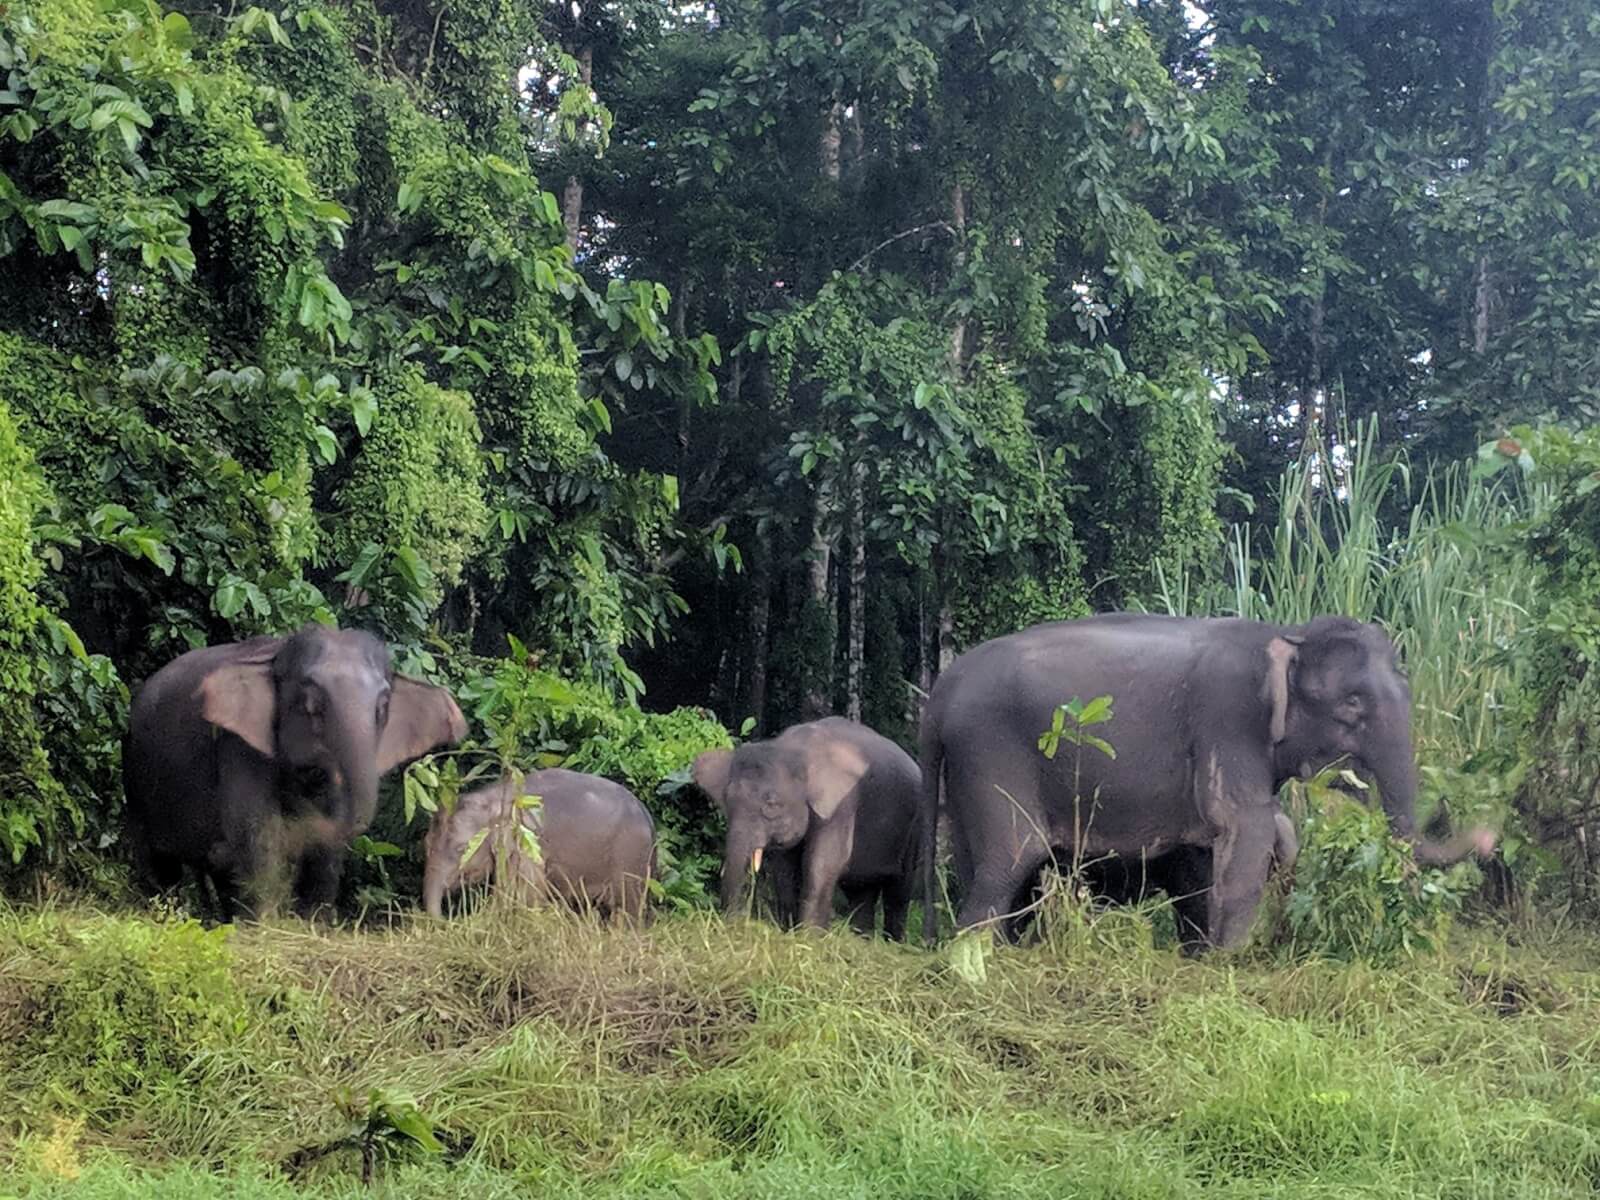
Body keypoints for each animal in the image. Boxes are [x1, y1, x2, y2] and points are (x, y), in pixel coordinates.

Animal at [124, 624, 464, 928]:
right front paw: (265, 925)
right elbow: (257, 830)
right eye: (311, 705)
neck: (276, 653)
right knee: (162, 865)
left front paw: (314, 924)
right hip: (136, 779)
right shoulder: (240, 746)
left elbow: (326, 846)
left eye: (382, 708)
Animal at [422, 771, 659, 921]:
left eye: (462, 849)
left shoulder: (528, 842)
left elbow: (524, 894)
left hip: (630, 859)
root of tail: (647, 815)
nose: (449, 919)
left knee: (627, 911)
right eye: (425, 845)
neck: (494, 797)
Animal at [691, 713, 928, 940]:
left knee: (898, 891)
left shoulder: (842, 805)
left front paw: (810, 938)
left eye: (771, 804)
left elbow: (824, 863)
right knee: (861, 890)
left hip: (914, 829)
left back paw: (892, 942)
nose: (735, 923)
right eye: (727, 801)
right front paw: (789, 930)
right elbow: (784, 868)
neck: (796, 750)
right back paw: (862, 939)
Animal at [921, 614, 1491, 953]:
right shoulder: (1228, 716)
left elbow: (1201, 861)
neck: (1285, 634)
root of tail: (941, 692)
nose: (1487, 836)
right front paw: (1227, 965)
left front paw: (1200, 957)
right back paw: (973, 960)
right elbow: (1244, 828)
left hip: (969, 769)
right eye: (1352, 704)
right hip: (995, 751)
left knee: (982, 864)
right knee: (1012, 858)